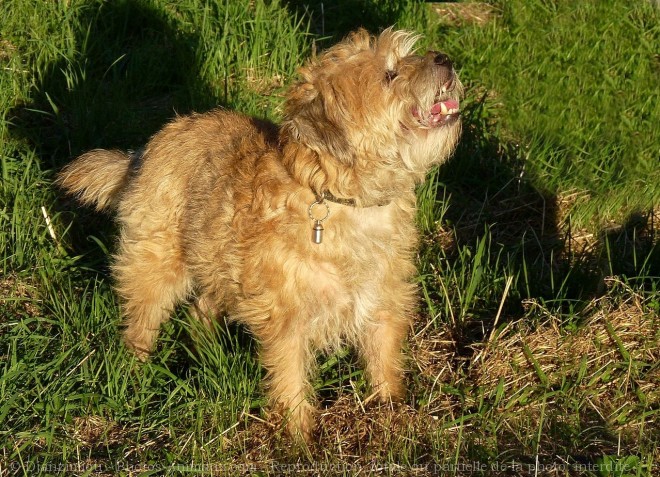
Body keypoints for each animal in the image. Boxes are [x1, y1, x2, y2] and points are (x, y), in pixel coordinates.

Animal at [59, 27, 464, 440]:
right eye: (389, 74)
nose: (444, 58)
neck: (344, 199)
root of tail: (144, 150)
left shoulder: (383, 299)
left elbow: (383, 362)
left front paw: (392, 415)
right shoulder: (287, 319)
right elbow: (290, 379)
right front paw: (299, 439)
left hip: (218, 257)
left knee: (201, 308)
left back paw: (206, 354)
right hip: (157, 262)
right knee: (143, 319)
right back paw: (137, 371)